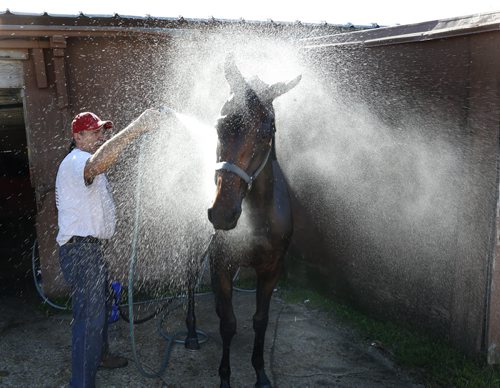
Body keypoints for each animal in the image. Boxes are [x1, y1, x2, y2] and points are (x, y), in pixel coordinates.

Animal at [185, 55, 300, 388]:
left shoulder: (271, 270)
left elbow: (260, 321)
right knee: (189, 279)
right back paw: (191, 334)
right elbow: (229, 324)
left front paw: (261, 373)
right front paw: (225, 377)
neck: (259, 217)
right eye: (219, 126)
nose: (223, 213)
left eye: (266, 132)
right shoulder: (221, 263)